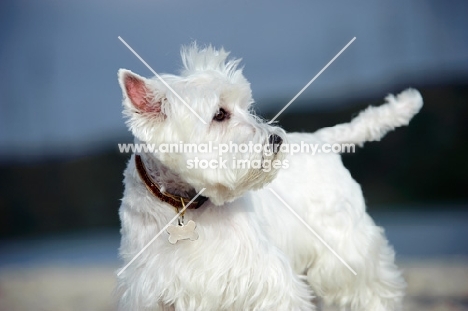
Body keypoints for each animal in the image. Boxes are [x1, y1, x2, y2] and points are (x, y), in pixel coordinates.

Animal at [115, 44, 422, 311]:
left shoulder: (265, 280)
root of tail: (322, 139)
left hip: (345, 247)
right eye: (219, 114)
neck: (182, 202)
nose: (276, 139)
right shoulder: (151, 291)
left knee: (369, 287)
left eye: (245, 106)